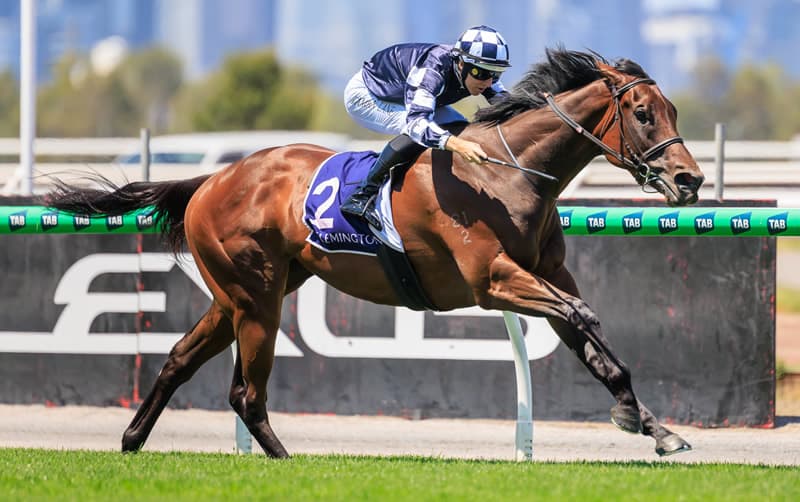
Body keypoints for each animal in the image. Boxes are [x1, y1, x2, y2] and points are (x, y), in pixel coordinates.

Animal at [44, 48, 704, 458]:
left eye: (672, 110)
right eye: (643, 113)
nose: (690, 180)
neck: (507, 173)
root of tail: (212, 179)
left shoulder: (548, 274)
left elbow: (593, 339)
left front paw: (654, 426)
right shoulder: (494, 279)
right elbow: (582, 316)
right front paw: (634, 419)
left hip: (248, 293)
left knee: (180, 359)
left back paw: (132, 441)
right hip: (255, 298)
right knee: (245, 393)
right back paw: (284, 461)